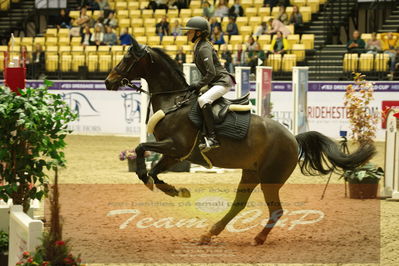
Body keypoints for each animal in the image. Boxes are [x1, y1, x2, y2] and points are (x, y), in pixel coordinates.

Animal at [104, 39, 376, 245]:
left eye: (126, 59)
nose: (108, 81)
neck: (175, 102)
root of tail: (293, 137)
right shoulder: (175, 154)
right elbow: (155, 171)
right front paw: (175, 190)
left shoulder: (176, 146)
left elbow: (141, 150)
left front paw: (154, 181)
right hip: (250, 173)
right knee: (239, 204)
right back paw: (209, 233)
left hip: (270, 178)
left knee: (276, 210)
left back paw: (258, 238)